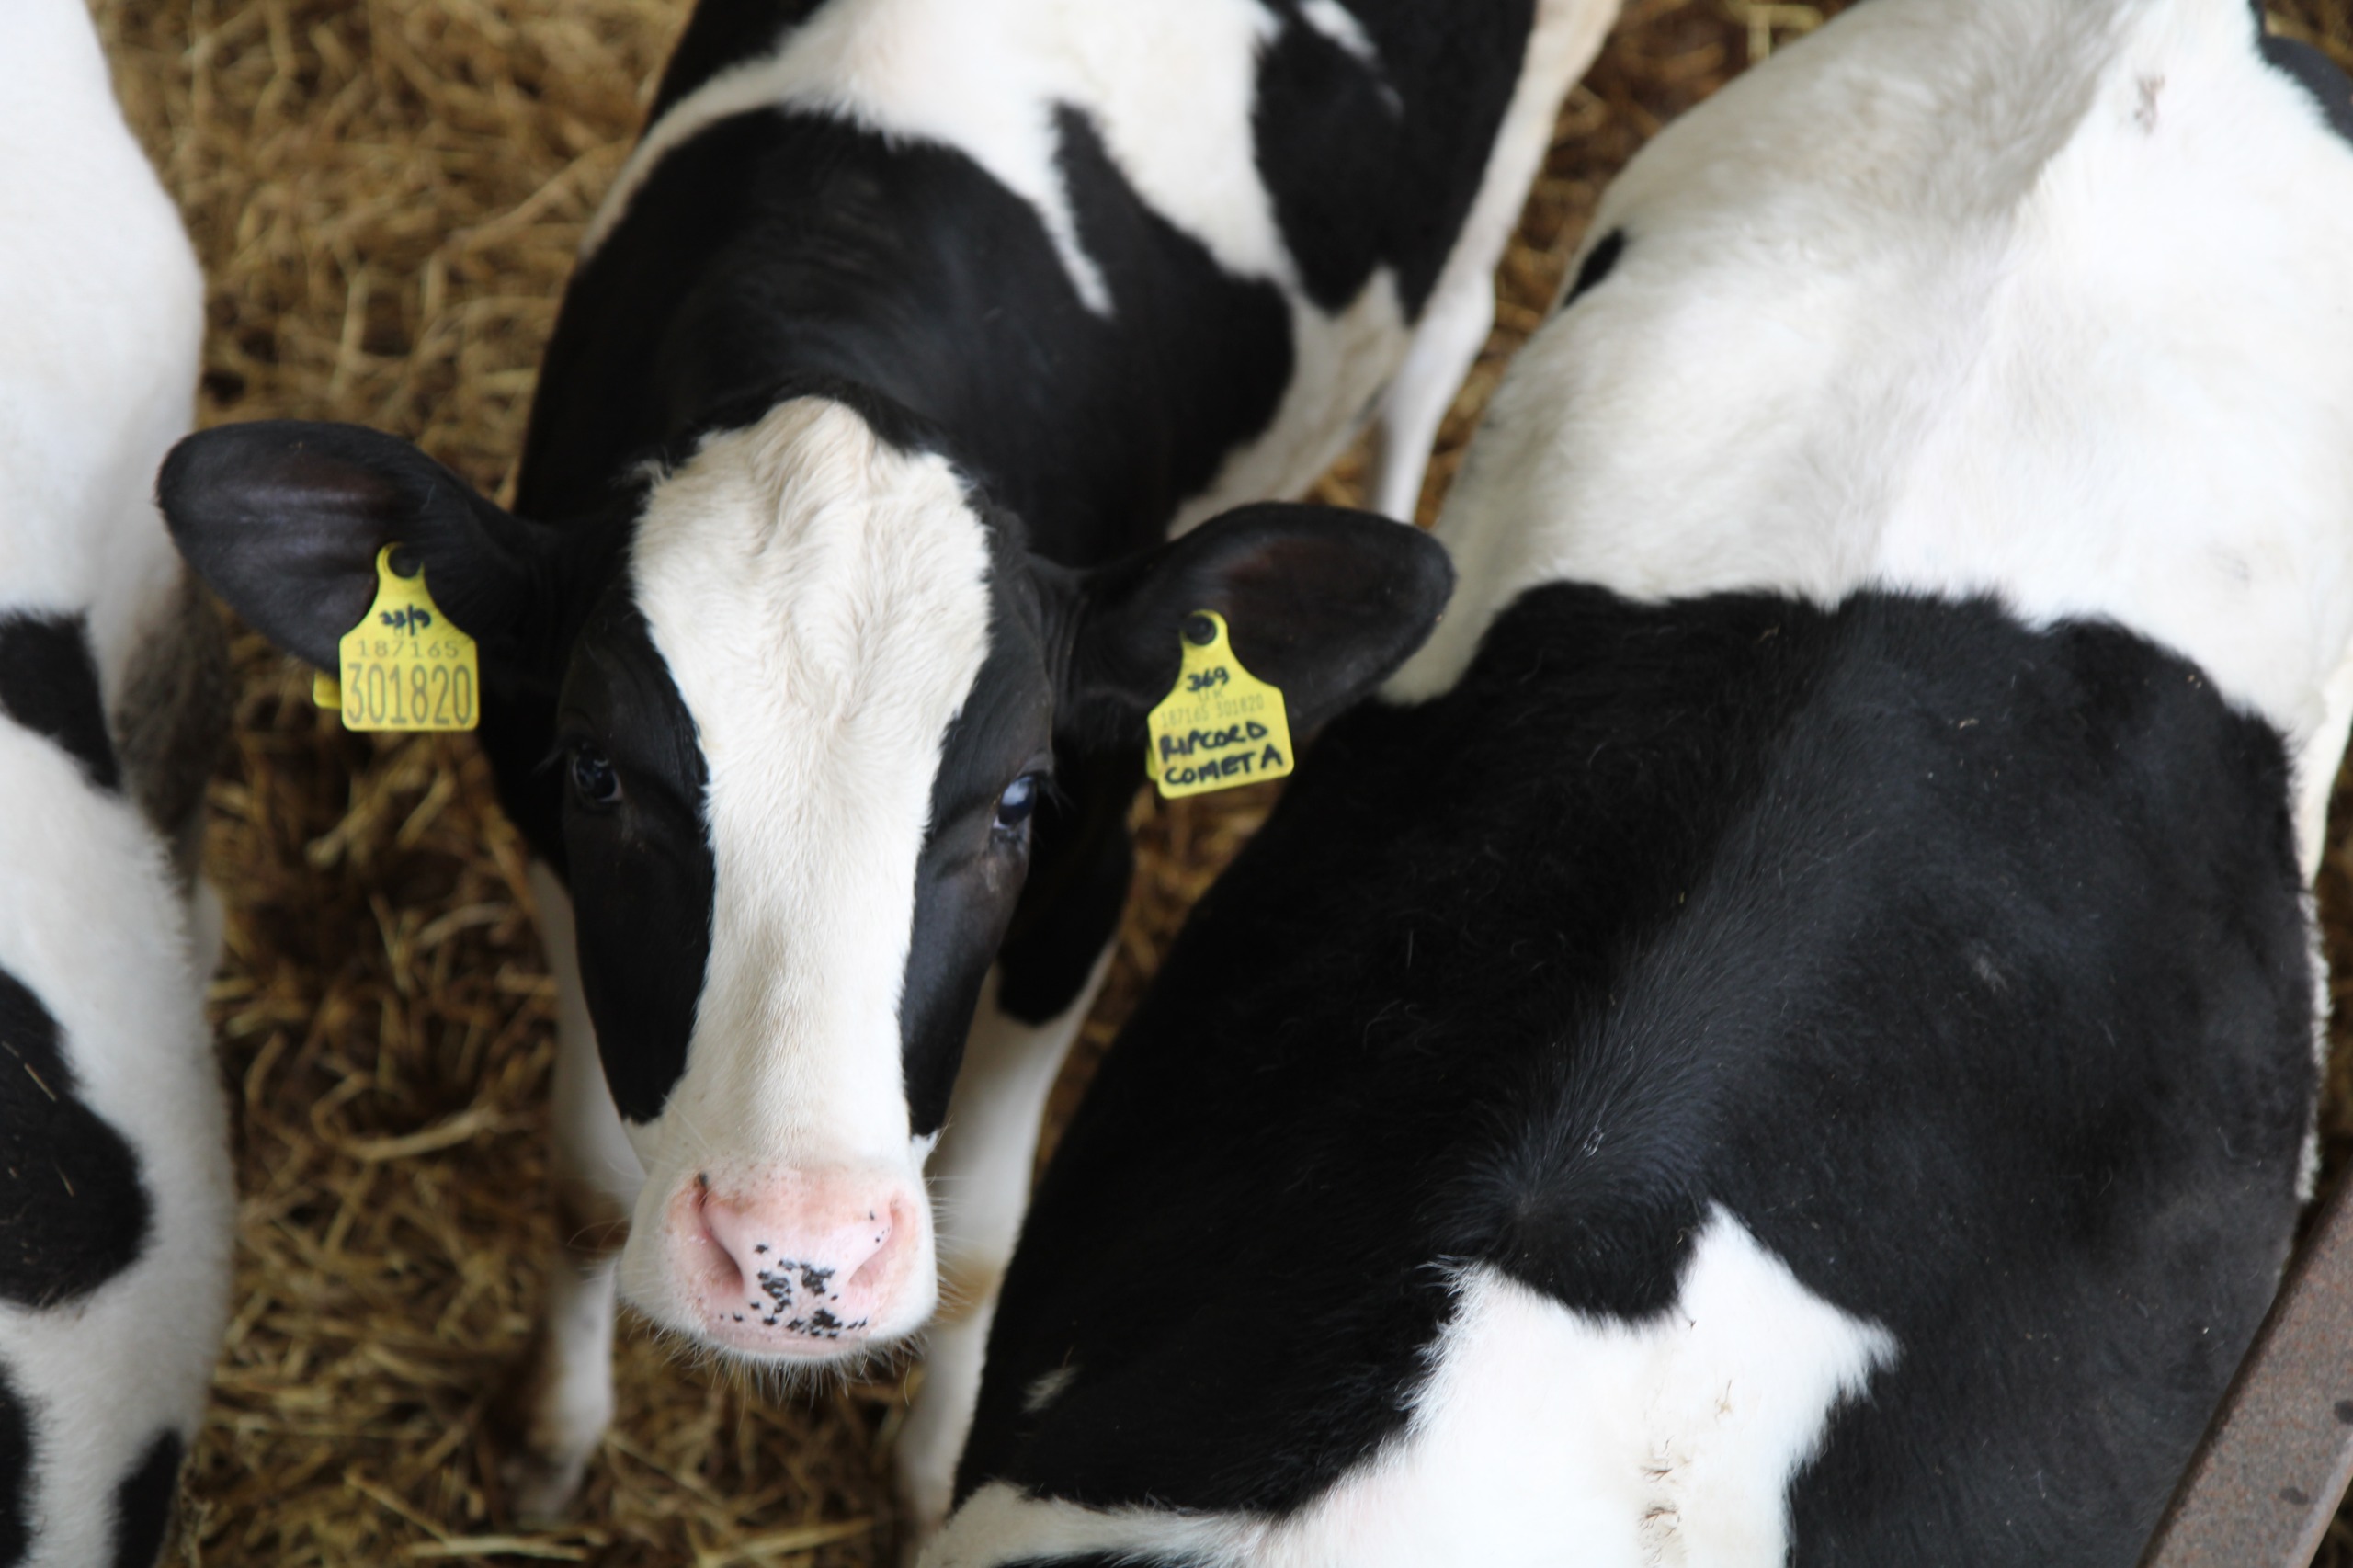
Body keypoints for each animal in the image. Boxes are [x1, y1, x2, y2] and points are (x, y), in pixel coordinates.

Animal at [151, 0, 1623, 1529]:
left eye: (1019, 798)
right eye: (601, 773)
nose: (792, 1263)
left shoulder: (1084, 894)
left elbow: (983, 1239)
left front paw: (931, 1477)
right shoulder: (551, 854)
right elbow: (585, 1181)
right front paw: (549, 1428)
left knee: (1439, 339)